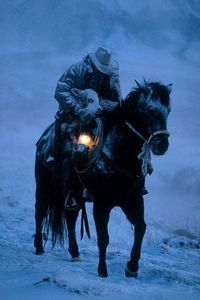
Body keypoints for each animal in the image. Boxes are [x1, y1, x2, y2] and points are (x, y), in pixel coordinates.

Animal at [34, 81, 172, 278]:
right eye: (150, 110)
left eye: (168, 111)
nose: (162, 145)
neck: (119, 154)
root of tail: (44, 138)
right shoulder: (102, 204)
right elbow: (103, 237)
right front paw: (102, 270)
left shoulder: (132, 200)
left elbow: (141, 227)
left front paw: (132, 267)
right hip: (43, 186)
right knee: (39, 213)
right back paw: (38, 247)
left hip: (74, 196)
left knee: (70, 218)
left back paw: (74, 252)